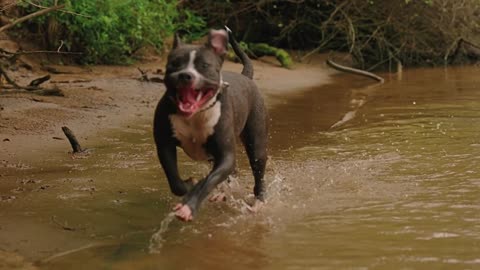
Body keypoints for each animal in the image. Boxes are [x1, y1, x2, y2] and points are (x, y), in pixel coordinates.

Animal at [153, 27, 268, 221]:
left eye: (204, 66)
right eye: (175, 64)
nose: (185, 75)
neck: (195, 115)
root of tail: (245, 77)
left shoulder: (225, 155)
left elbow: (207, 182)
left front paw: (188, 207)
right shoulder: (164, 144)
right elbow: (175, 181)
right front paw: (189, 185)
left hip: (257, 144)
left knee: (258, 173)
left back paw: (257, 203)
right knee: (232, 173)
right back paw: (222, 193)